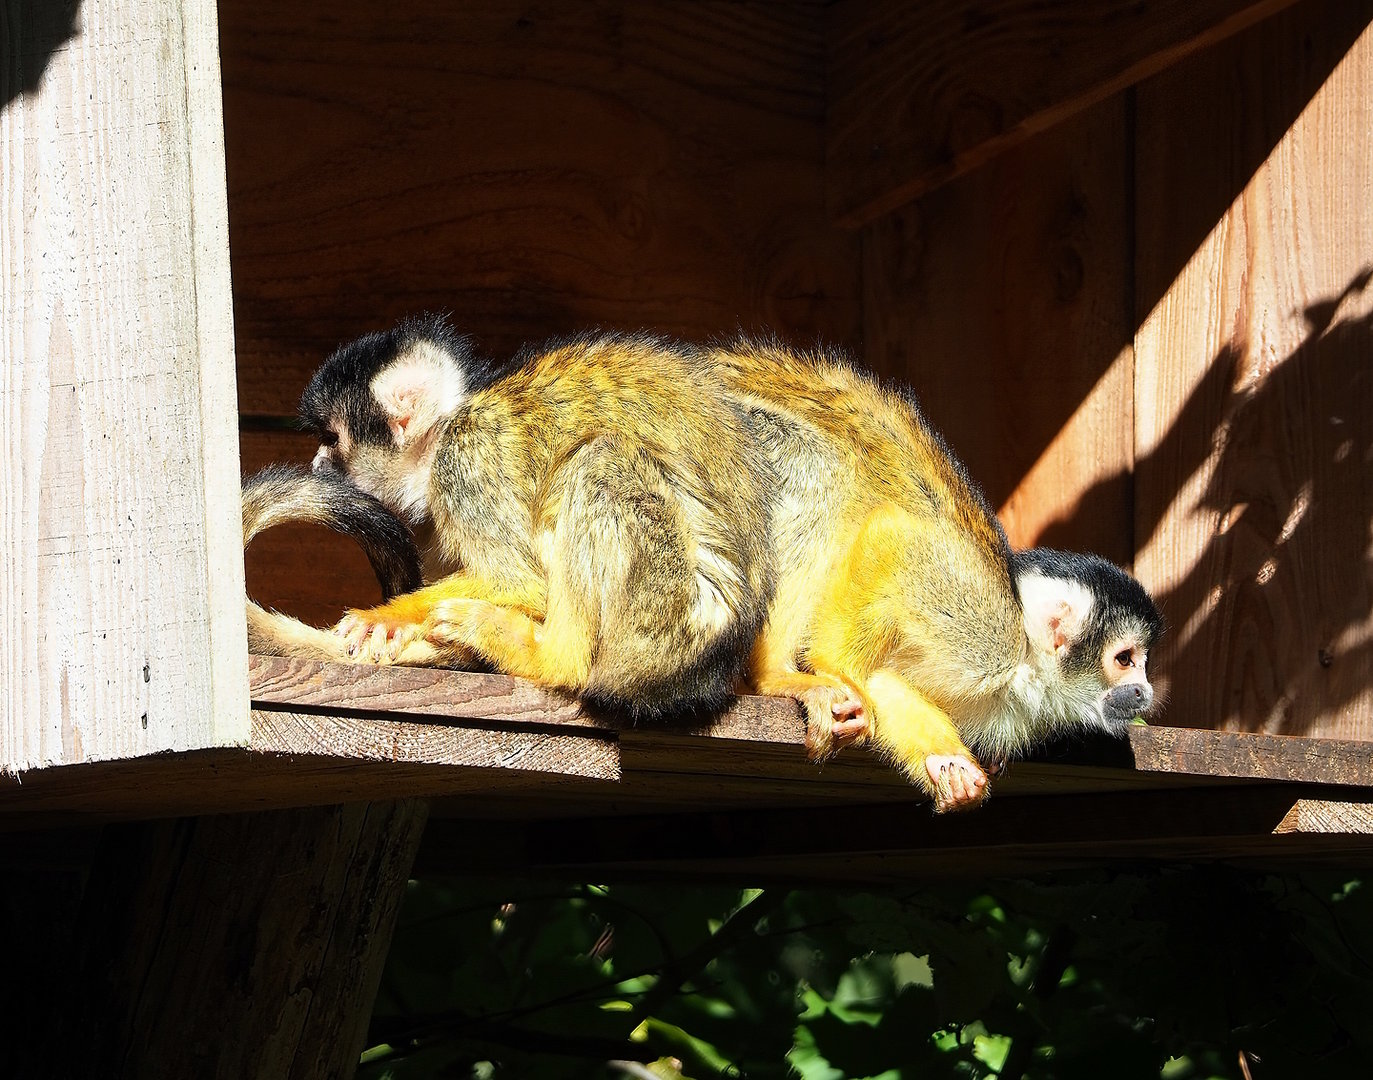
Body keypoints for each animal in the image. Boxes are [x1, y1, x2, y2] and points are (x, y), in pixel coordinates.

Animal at [296, 315, 774, 723]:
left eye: (332, 439)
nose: (317, 463)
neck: (442, 433)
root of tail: (702, 673)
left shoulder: (466, 461)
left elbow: (522, 584)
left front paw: (387, 616)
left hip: (661, 621)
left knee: (598, 460)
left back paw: (547, 657)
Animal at [709, 338, 1164, 812]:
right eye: (1125, 660)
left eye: (1143, 663)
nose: (1144, 691)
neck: (1023, 671)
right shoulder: (984, 634)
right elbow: (896, 539)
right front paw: (832, 670)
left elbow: (883, 679)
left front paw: (948, 763)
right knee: (820, 468)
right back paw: (775, 674)